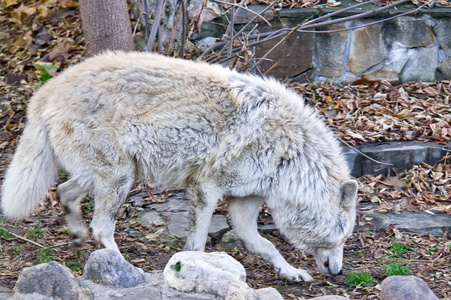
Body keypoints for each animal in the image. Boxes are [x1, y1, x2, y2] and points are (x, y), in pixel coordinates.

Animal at [0, 51, 360, 282]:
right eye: (342, 236)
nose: (339, 271)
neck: (289, 154)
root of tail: (47, 90)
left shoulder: (243, 203)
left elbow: (266, 245)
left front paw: (290, 272)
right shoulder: (205, 189)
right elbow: (198, 244)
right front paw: (192, 269)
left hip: (108, 177)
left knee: (64, 192)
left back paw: (77, 238)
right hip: (119, 179)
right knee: (101, 227)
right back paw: (126, 269)